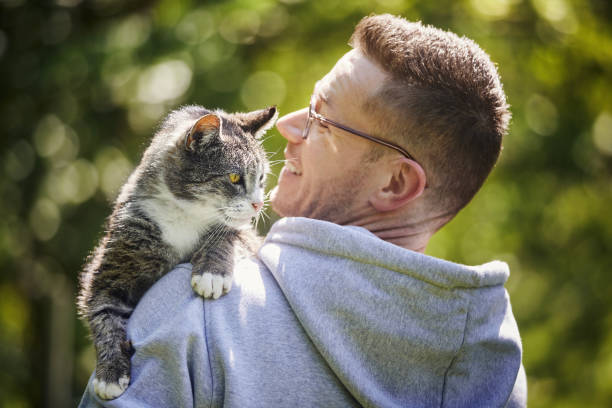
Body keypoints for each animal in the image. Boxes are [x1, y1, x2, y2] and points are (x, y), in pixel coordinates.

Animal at [77, 103, 278, 400]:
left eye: (261, 178)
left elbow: (229, 234)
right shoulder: (110, 267)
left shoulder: (247, 237)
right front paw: (110, 374)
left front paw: (211, 274)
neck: (185, 215)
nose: (258, 204)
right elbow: (103, 314)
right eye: (234, 177)